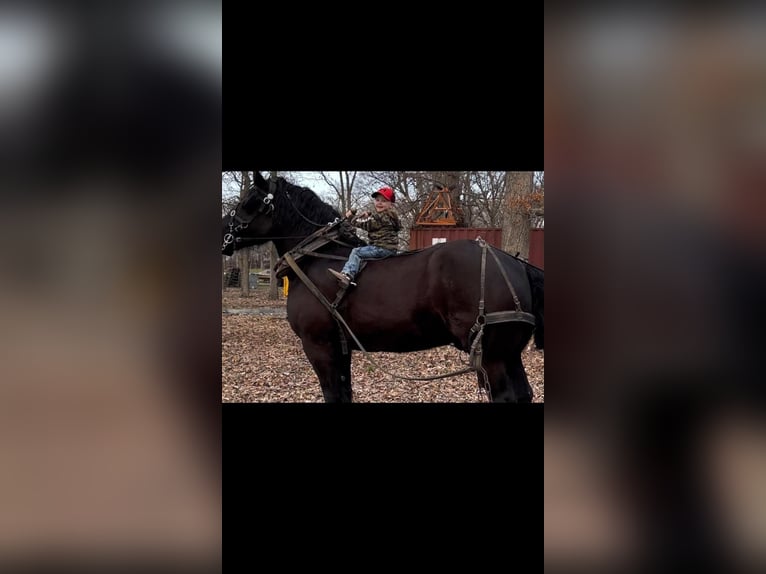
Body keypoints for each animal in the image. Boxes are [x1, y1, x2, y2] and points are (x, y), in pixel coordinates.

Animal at [224, 173, 544, 402]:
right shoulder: (340, 346)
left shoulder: (318, 345)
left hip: (492, 357)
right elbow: (344, 394)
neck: (318, 256)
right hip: (509, 354)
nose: (225, 233)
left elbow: (332, 394)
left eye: (249, 202)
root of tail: (515, 263)